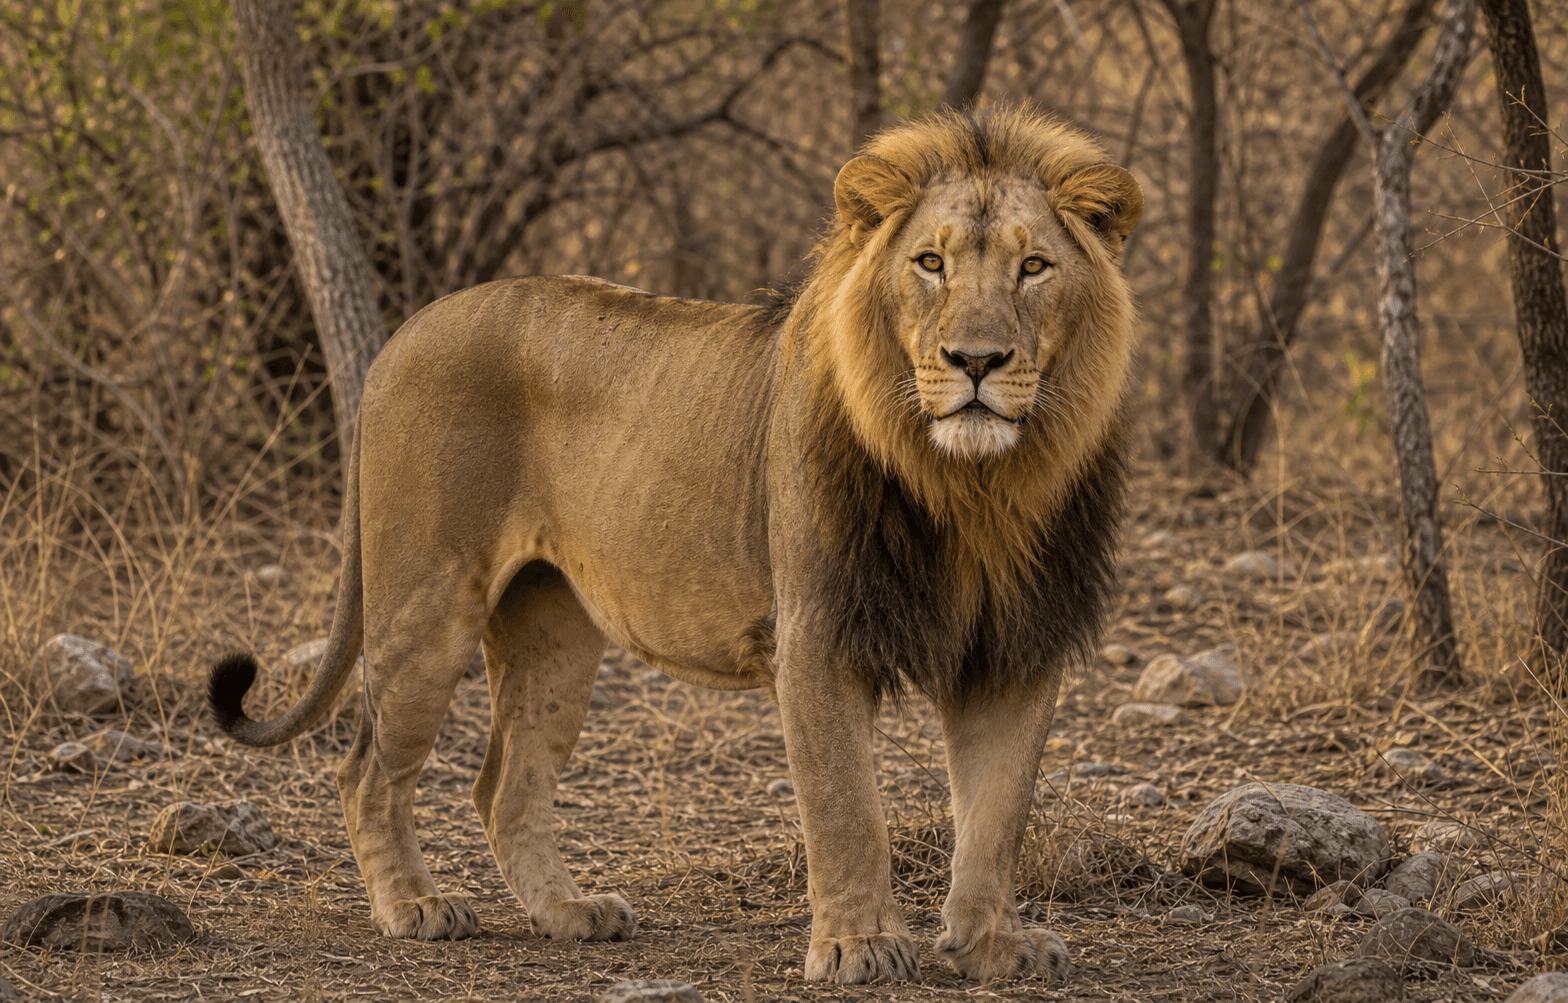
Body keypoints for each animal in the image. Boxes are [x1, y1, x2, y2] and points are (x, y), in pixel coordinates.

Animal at [209, 105, 1142, 984]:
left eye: (1033, 267)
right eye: (930, 264)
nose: (976, 360)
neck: (973, 489)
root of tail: (400, 336)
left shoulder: (1017, 646)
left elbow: (996, 815)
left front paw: (995, 944)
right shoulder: (816, 634)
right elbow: (848, 806)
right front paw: (860, 945)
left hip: (554, 628)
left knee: (505, 784)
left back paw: (569, 911)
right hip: (426, 604)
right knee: (368, 770)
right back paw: (414, 905)